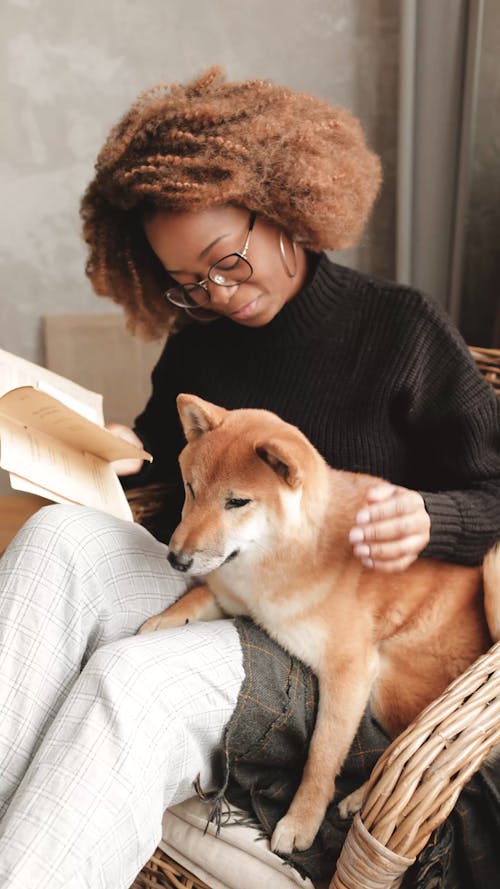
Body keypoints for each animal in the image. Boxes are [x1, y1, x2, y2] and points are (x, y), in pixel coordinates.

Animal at [141, 394, 500, 852]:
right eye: (191, 488)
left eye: (237, 502)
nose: (177, 559)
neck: (273, 562)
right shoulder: (229, 596)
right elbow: (196, 597)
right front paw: (161, 621)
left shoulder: (349, 672)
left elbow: (322, 755)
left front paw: (302, 820)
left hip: (390, 684)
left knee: (422, 752)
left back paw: (362, 798)